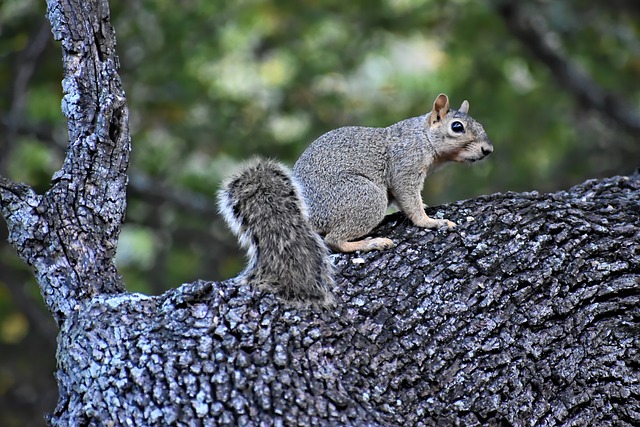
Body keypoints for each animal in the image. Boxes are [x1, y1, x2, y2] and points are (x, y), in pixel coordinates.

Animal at [218, 93, 492, 305]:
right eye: (457, 127)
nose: (487, 150)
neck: (421, 137)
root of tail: (308, 216)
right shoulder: (404, 166)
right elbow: (409, 199)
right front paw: (431, 222)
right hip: (366, 197)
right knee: (333, 240)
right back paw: (370, 243)